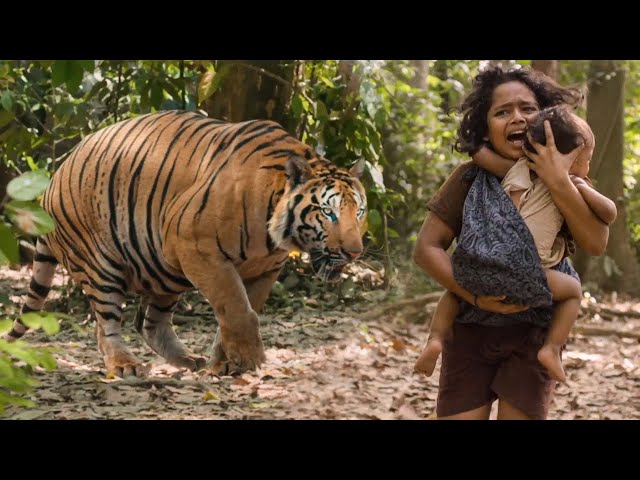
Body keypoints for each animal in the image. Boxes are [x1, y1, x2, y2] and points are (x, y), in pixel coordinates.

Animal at [6, 110, 368, 377]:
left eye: (360, 212)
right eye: (329, 213)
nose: (355, 252)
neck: (271, 235)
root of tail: (53, 179)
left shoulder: (263, 271)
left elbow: (240, 311)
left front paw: (225, 363)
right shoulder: (196, 246)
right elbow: (236, 309)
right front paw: (250, 361)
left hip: (165, 270)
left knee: (149, 323)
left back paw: (188, 360)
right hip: (102, 265)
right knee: (106, 322)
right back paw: (124, 365)